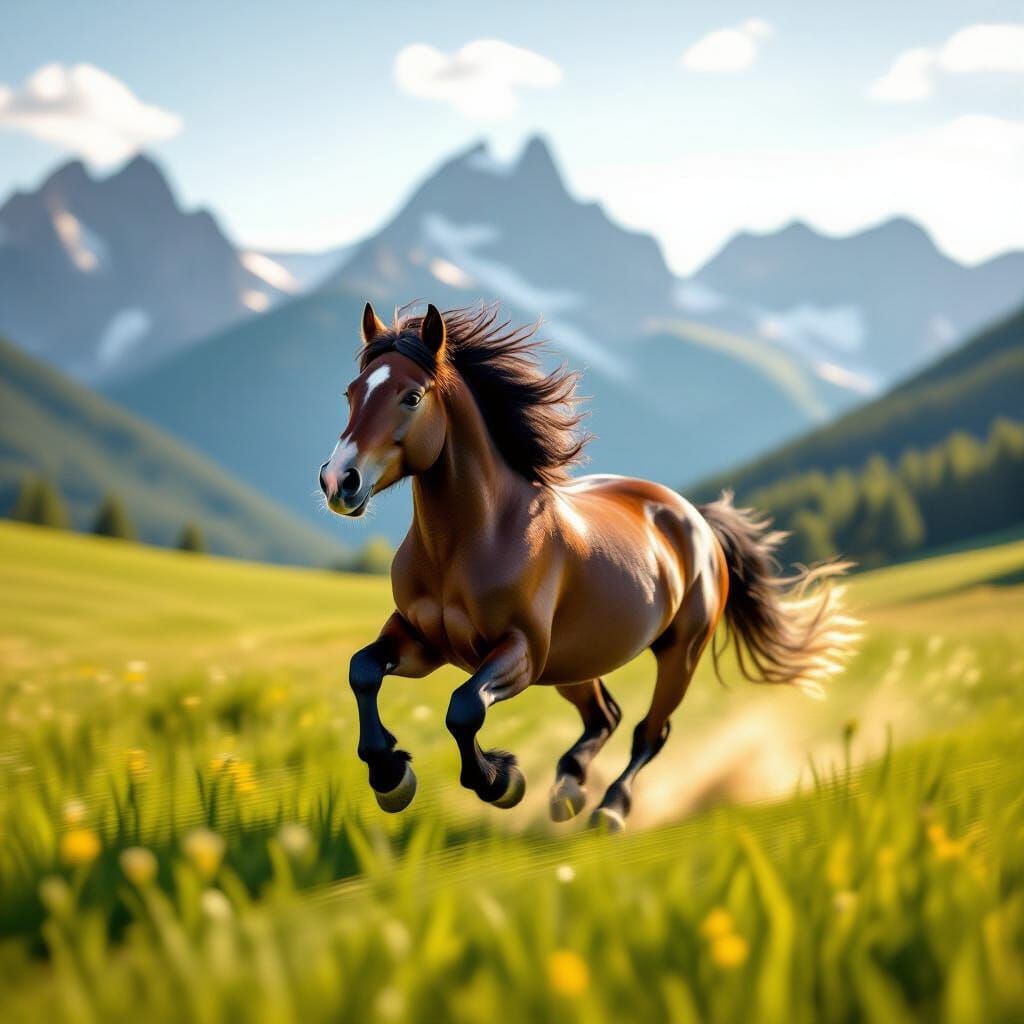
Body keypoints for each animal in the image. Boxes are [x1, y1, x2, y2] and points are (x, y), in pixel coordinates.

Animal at [318, 302, 858, 831]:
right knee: (605, 716)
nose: (339, 481)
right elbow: (362, 670)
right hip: (576, 662)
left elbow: (464, 708)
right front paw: (390, 774)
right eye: (350, 392)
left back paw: (610, 809)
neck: (470, 543)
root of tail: (698, 521)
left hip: (677, 654)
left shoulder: (520, 653)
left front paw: (500, 781)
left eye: (411, 396)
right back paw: (569, 787)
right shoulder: (423, 640)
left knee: (649, 731)